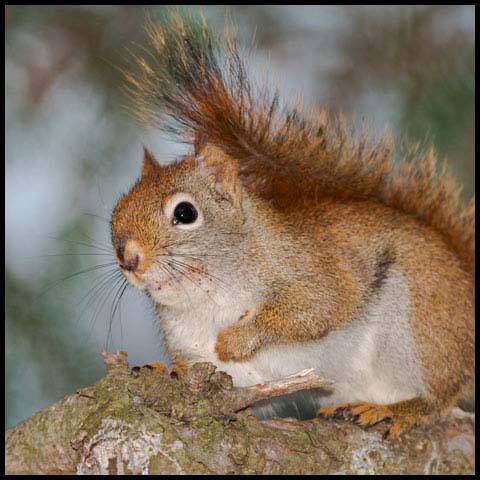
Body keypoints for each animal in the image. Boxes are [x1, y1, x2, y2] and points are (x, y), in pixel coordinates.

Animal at [110, 13, 474, 436]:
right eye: (116, 211)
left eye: (185, 213)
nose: (128, 259)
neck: (207, 298)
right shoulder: (209, 359)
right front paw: (164, 371)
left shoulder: (311, 269)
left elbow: (317, 307)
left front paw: (237, 338)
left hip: (424, 323)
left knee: (438, 398)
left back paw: (399, 410)